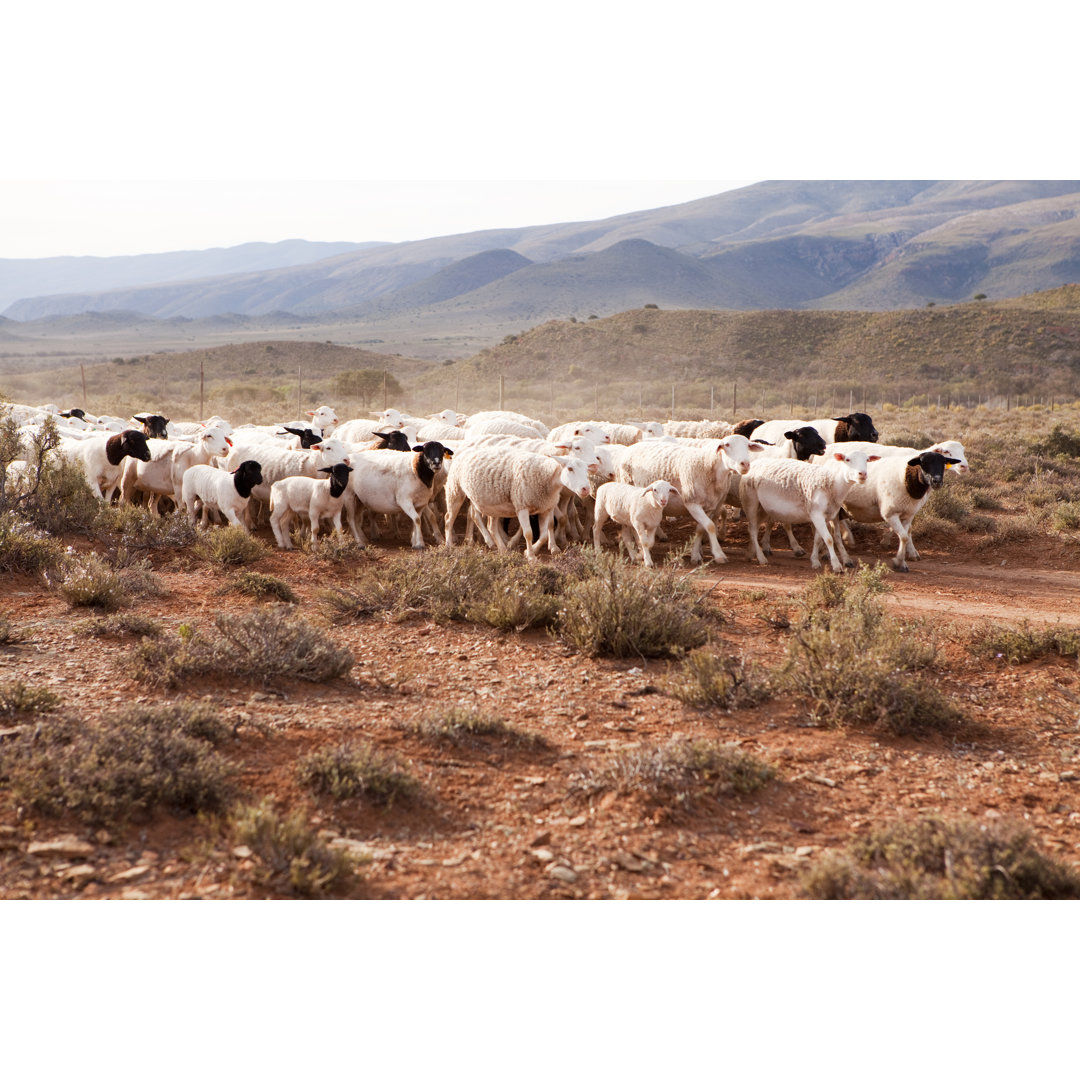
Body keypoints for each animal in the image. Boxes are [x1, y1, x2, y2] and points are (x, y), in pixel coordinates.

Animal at [613, 434, 764, 565]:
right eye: (727, 445)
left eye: (748, 445)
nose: (745, 464)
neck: (708, 467)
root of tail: (632, 446)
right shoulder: (692, 503)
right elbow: (710, 526)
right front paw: (719, 554)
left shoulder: (710, 506)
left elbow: (701, 529)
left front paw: (696, 555)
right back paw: (638, 551)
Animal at [738, 447, 881, 574]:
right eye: (848, 459)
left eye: (867, 460)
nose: (863, 474)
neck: (833, 483)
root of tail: (754, 463)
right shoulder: (816, 514)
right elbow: (828, 539)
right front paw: (836, 566)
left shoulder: (826, 515)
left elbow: (819, 539)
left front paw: (815, 561)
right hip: (750, 501)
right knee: (752, 529)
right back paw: (761, 558)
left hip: (763, 508)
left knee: (755, 528)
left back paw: (750, 554)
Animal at [829, 449, 959, 574]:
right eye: (923, 463)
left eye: (943, 463)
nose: (937, 481)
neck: (906, 479)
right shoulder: (890, 513)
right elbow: (904, 536)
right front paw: (899, 562)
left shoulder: (907, 515)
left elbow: (905, 535)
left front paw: (901, 560)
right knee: (835, 533)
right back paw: (845, 554)